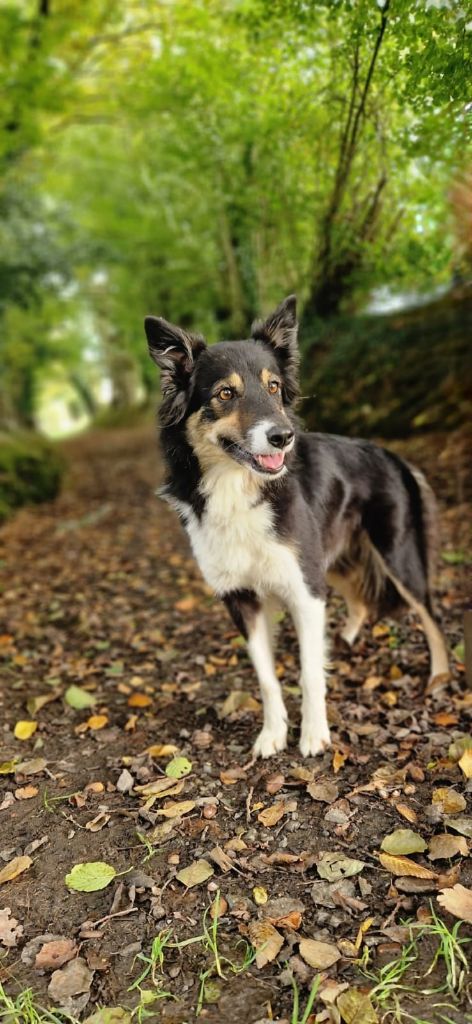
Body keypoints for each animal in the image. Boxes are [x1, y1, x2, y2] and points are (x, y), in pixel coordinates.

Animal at [144, 292, 448, 757]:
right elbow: (267, 679)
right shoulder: (243, 599)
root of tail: (392, 454)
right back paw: (344, 641)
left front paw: (313, 734)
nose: (283, 437)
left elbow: (308, 673)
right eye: (225, 393)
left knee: (431, 616)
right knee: (360, 601)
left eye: (273, 387)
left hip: (395, 557)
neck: (238, 488)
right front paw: (272, 734)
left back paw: (439, 677)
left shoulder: (304, 591)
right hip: (330, 561)